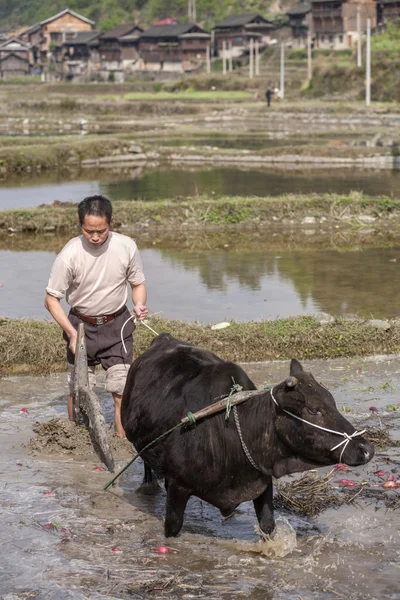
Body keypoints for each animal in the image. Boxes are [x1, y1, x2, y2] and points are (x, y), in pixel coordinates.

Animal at [120, 332, 374, 540]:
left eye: (332, 402)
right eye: (313, 410)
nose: (366, 450)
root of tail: (164, 338)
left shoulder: (262, 480)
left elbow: (268, 525)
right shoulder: (178, 487)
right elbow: (173, 526)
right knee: (145, 460)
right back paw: (149, 484)